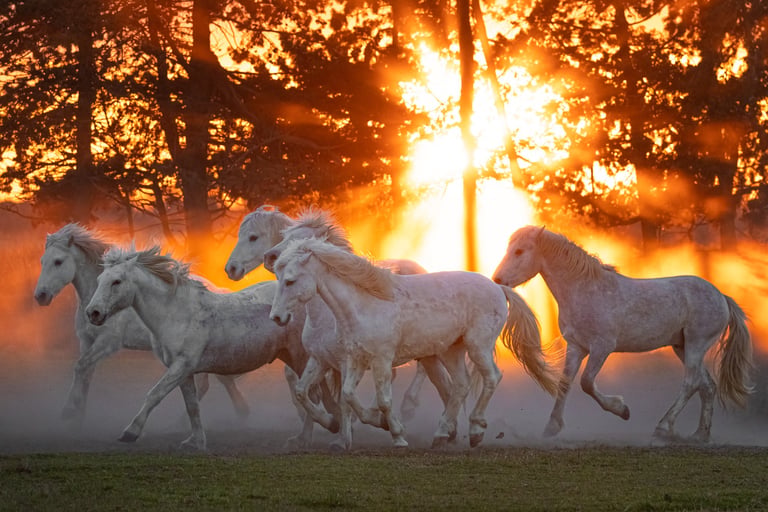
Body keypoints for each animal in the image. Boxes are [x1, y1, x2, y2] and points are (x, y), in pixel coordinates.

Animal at [32, 224, 250, 423]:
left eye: (58, 261)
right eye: (43, 261)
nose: (40, 296)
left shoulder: (107, 343)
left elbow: (81, 366)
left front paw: (69, 412)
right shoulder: (86, 340)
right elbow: (85, 372)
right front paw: (78, 413)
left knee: (219, 381)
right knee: (209, 383)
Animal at [83, 245, 312, 450]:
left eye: (116, 281)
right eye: (99, 280)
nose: (93, 313)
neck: (178, 313)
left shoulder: (182, 365)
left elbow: (155, 394)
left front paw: (130, 432)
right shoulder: (184, 372)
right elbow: (192, 405)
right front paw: (196, 442)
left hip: (301, 357)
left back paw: (304, 438)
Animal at [269, 237, 558, 450]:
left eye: (290, 280)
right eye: (279, 278)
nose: (277, 317)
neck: (364, 305)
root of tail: (498, 288)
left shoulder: (381, 360)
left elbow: (384, 399)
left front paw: (397, 435)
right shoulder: (353, 359)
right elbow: (347, 395)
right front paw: (376, 422)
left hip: (478, 347)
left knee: (491, 379)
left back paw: (476, 430)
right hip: (451, 351)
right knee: (460, 386)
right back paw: (441, 435)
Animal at [491, 225, 754, 443]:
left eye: (519, 251)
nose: (497, 279)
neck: (584, 290)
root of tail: (721, 297)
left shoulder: (602, 347)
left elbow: (587, 383)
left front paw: (622, 410)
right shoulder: (576, 347)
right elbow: (565, 384)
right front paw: (551, 428)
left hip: (696, 345)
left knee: (691, 383)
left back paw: (663, 428)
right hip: (683, 347)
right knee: (707, 386)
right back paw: (699, 435)